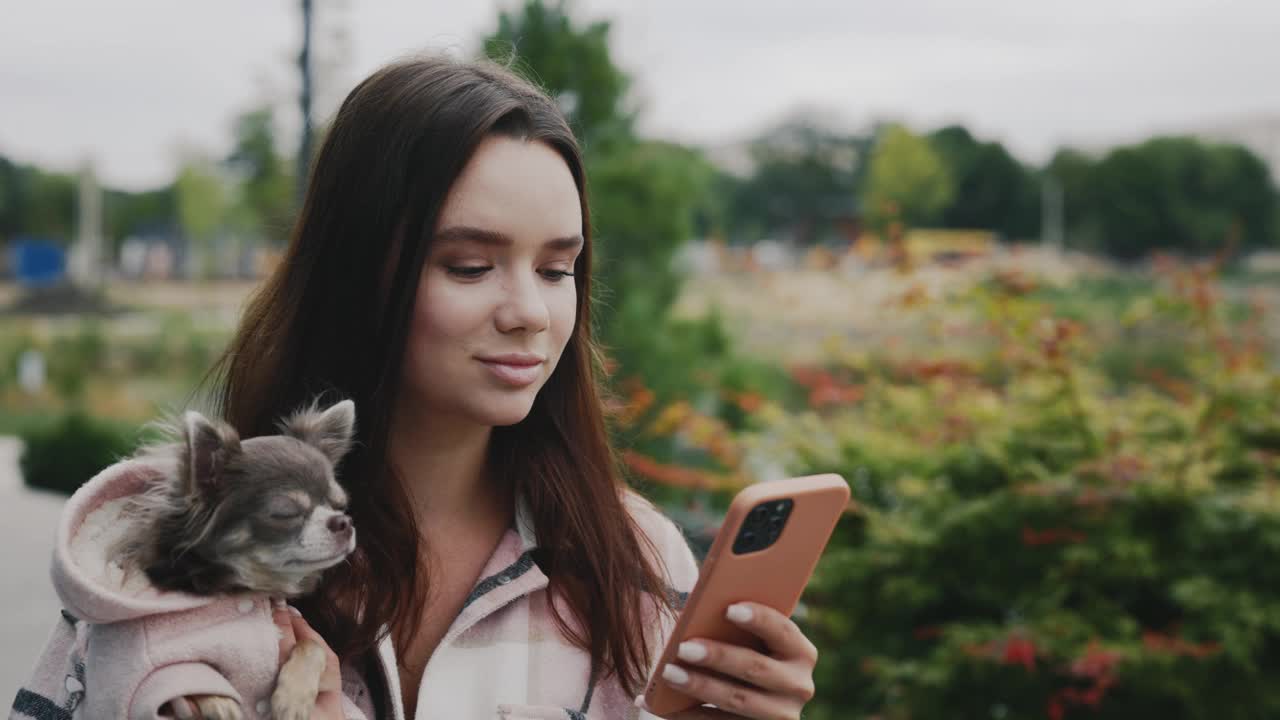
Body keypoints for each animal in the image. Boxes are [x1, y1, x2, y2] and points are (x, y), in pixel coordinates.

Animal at [114, 394, 358, 712]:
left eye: (339, 506)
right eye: (285, 513)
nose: (344, 522)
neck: (241, 588)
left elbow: (313, 645)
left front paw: (294, 697)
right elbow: (187, 670)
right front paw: (219, 701)